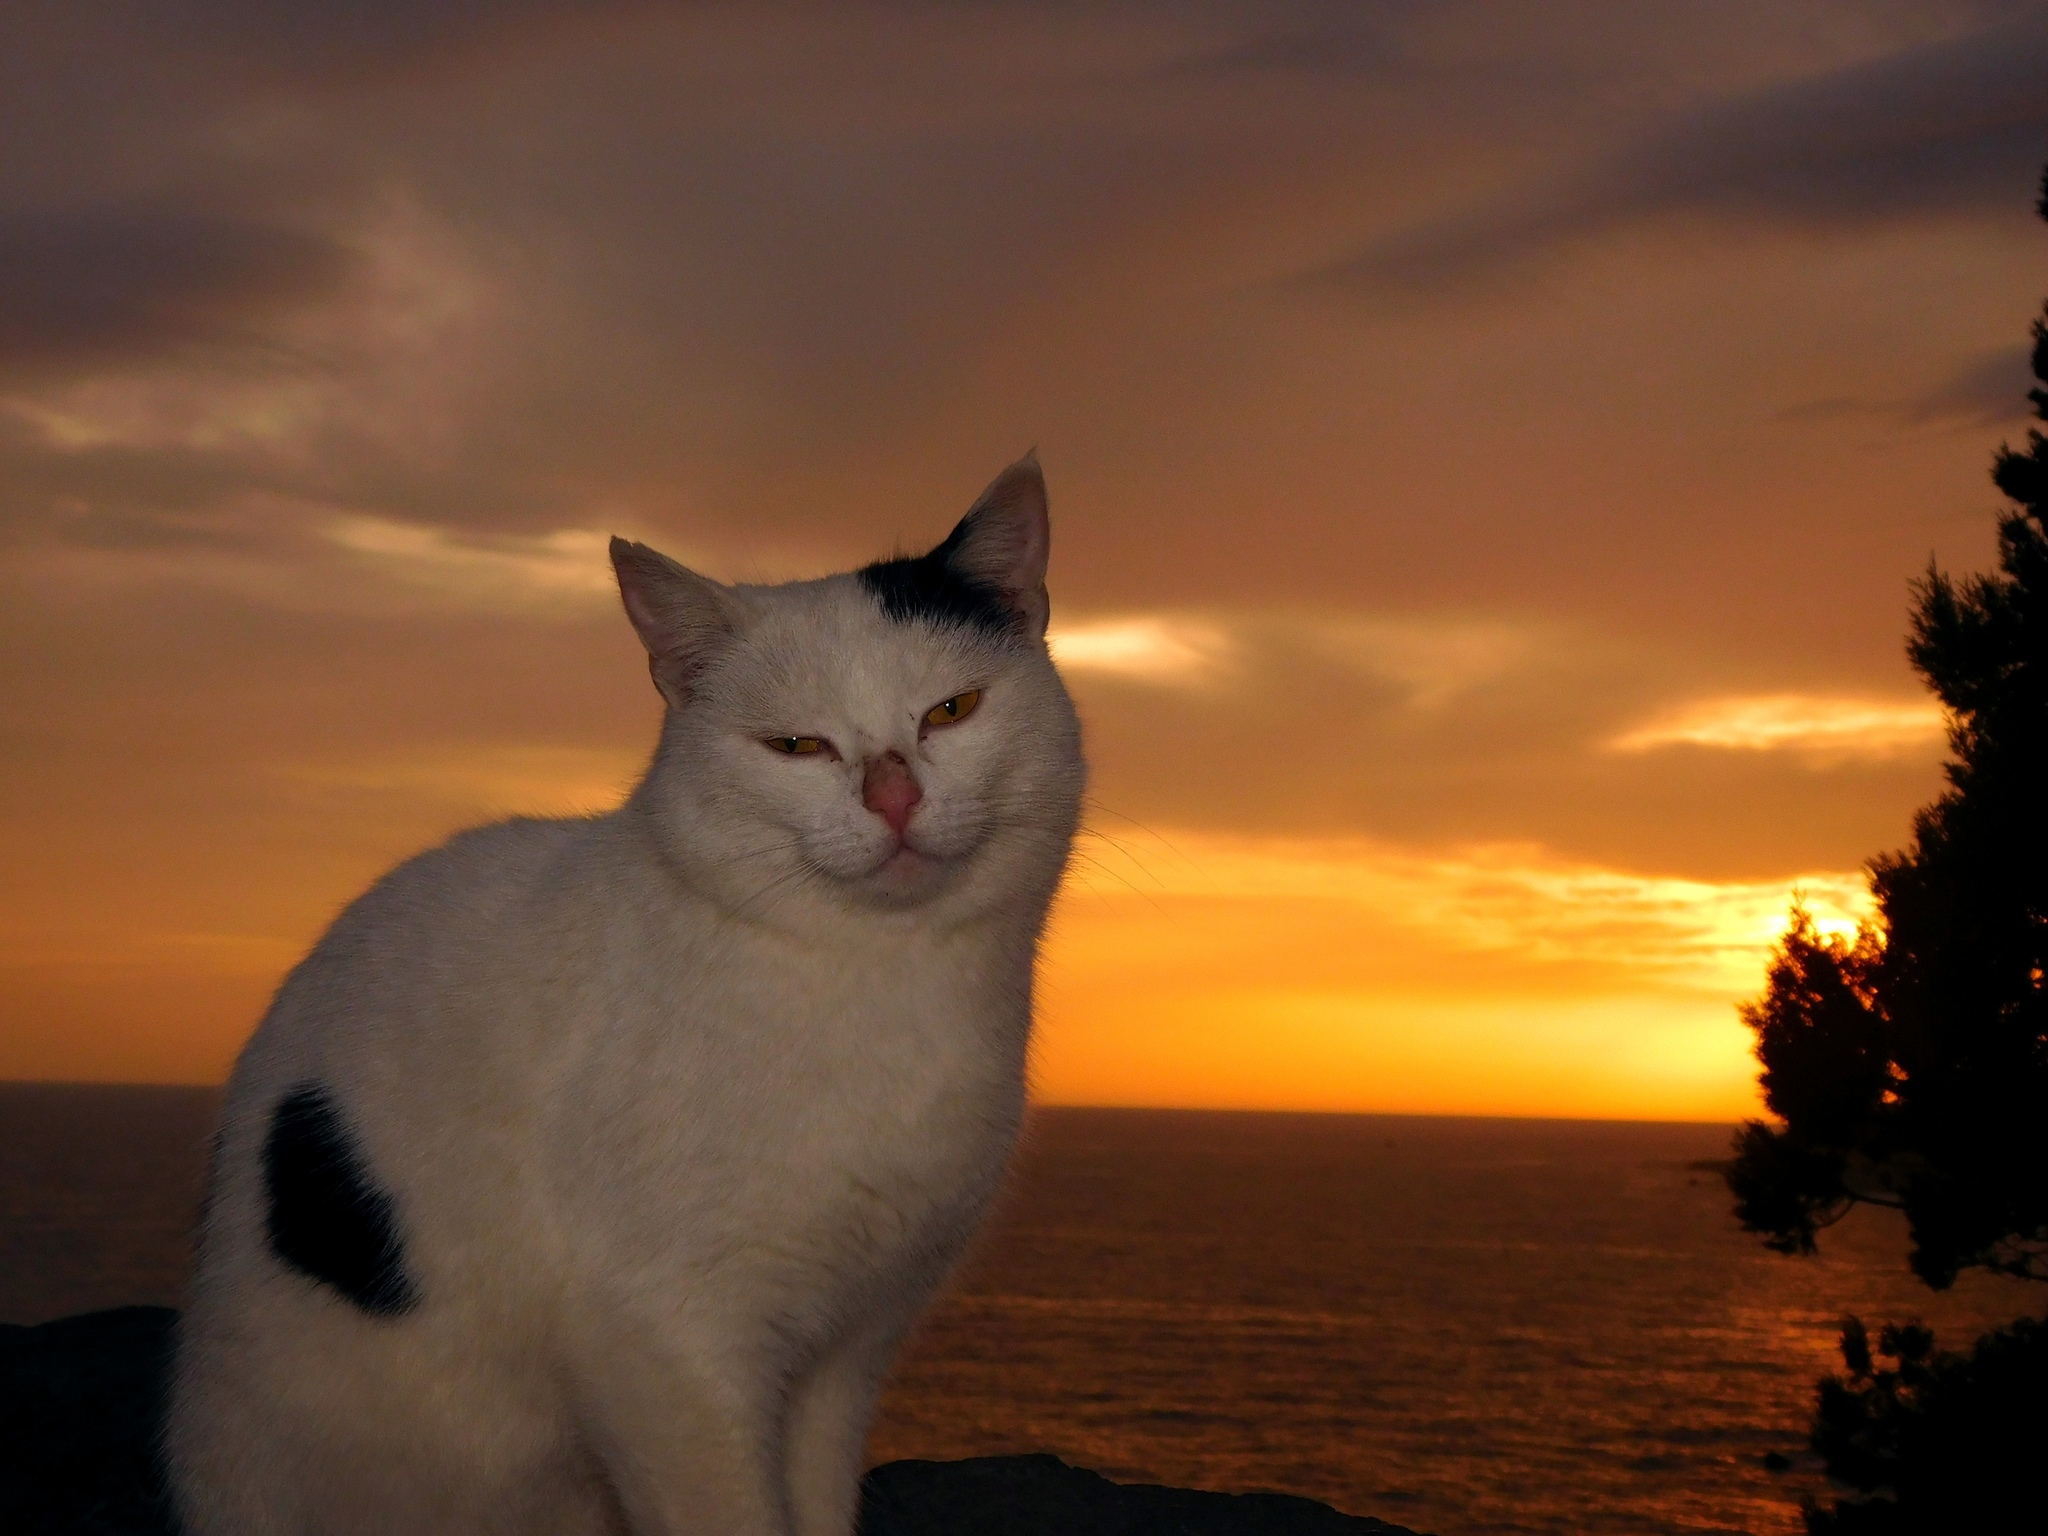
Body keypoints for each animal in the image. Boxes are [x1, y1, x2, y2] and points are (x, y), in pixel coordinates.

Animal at [167, 456, 1089, 1536]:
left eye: (951, 710)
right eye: (796, 746)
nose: (892, 794)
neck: (886, 982)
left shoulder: (845, 1347)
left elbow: (816, 1500)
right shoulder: (662, 1340)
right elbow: (733, 1511)